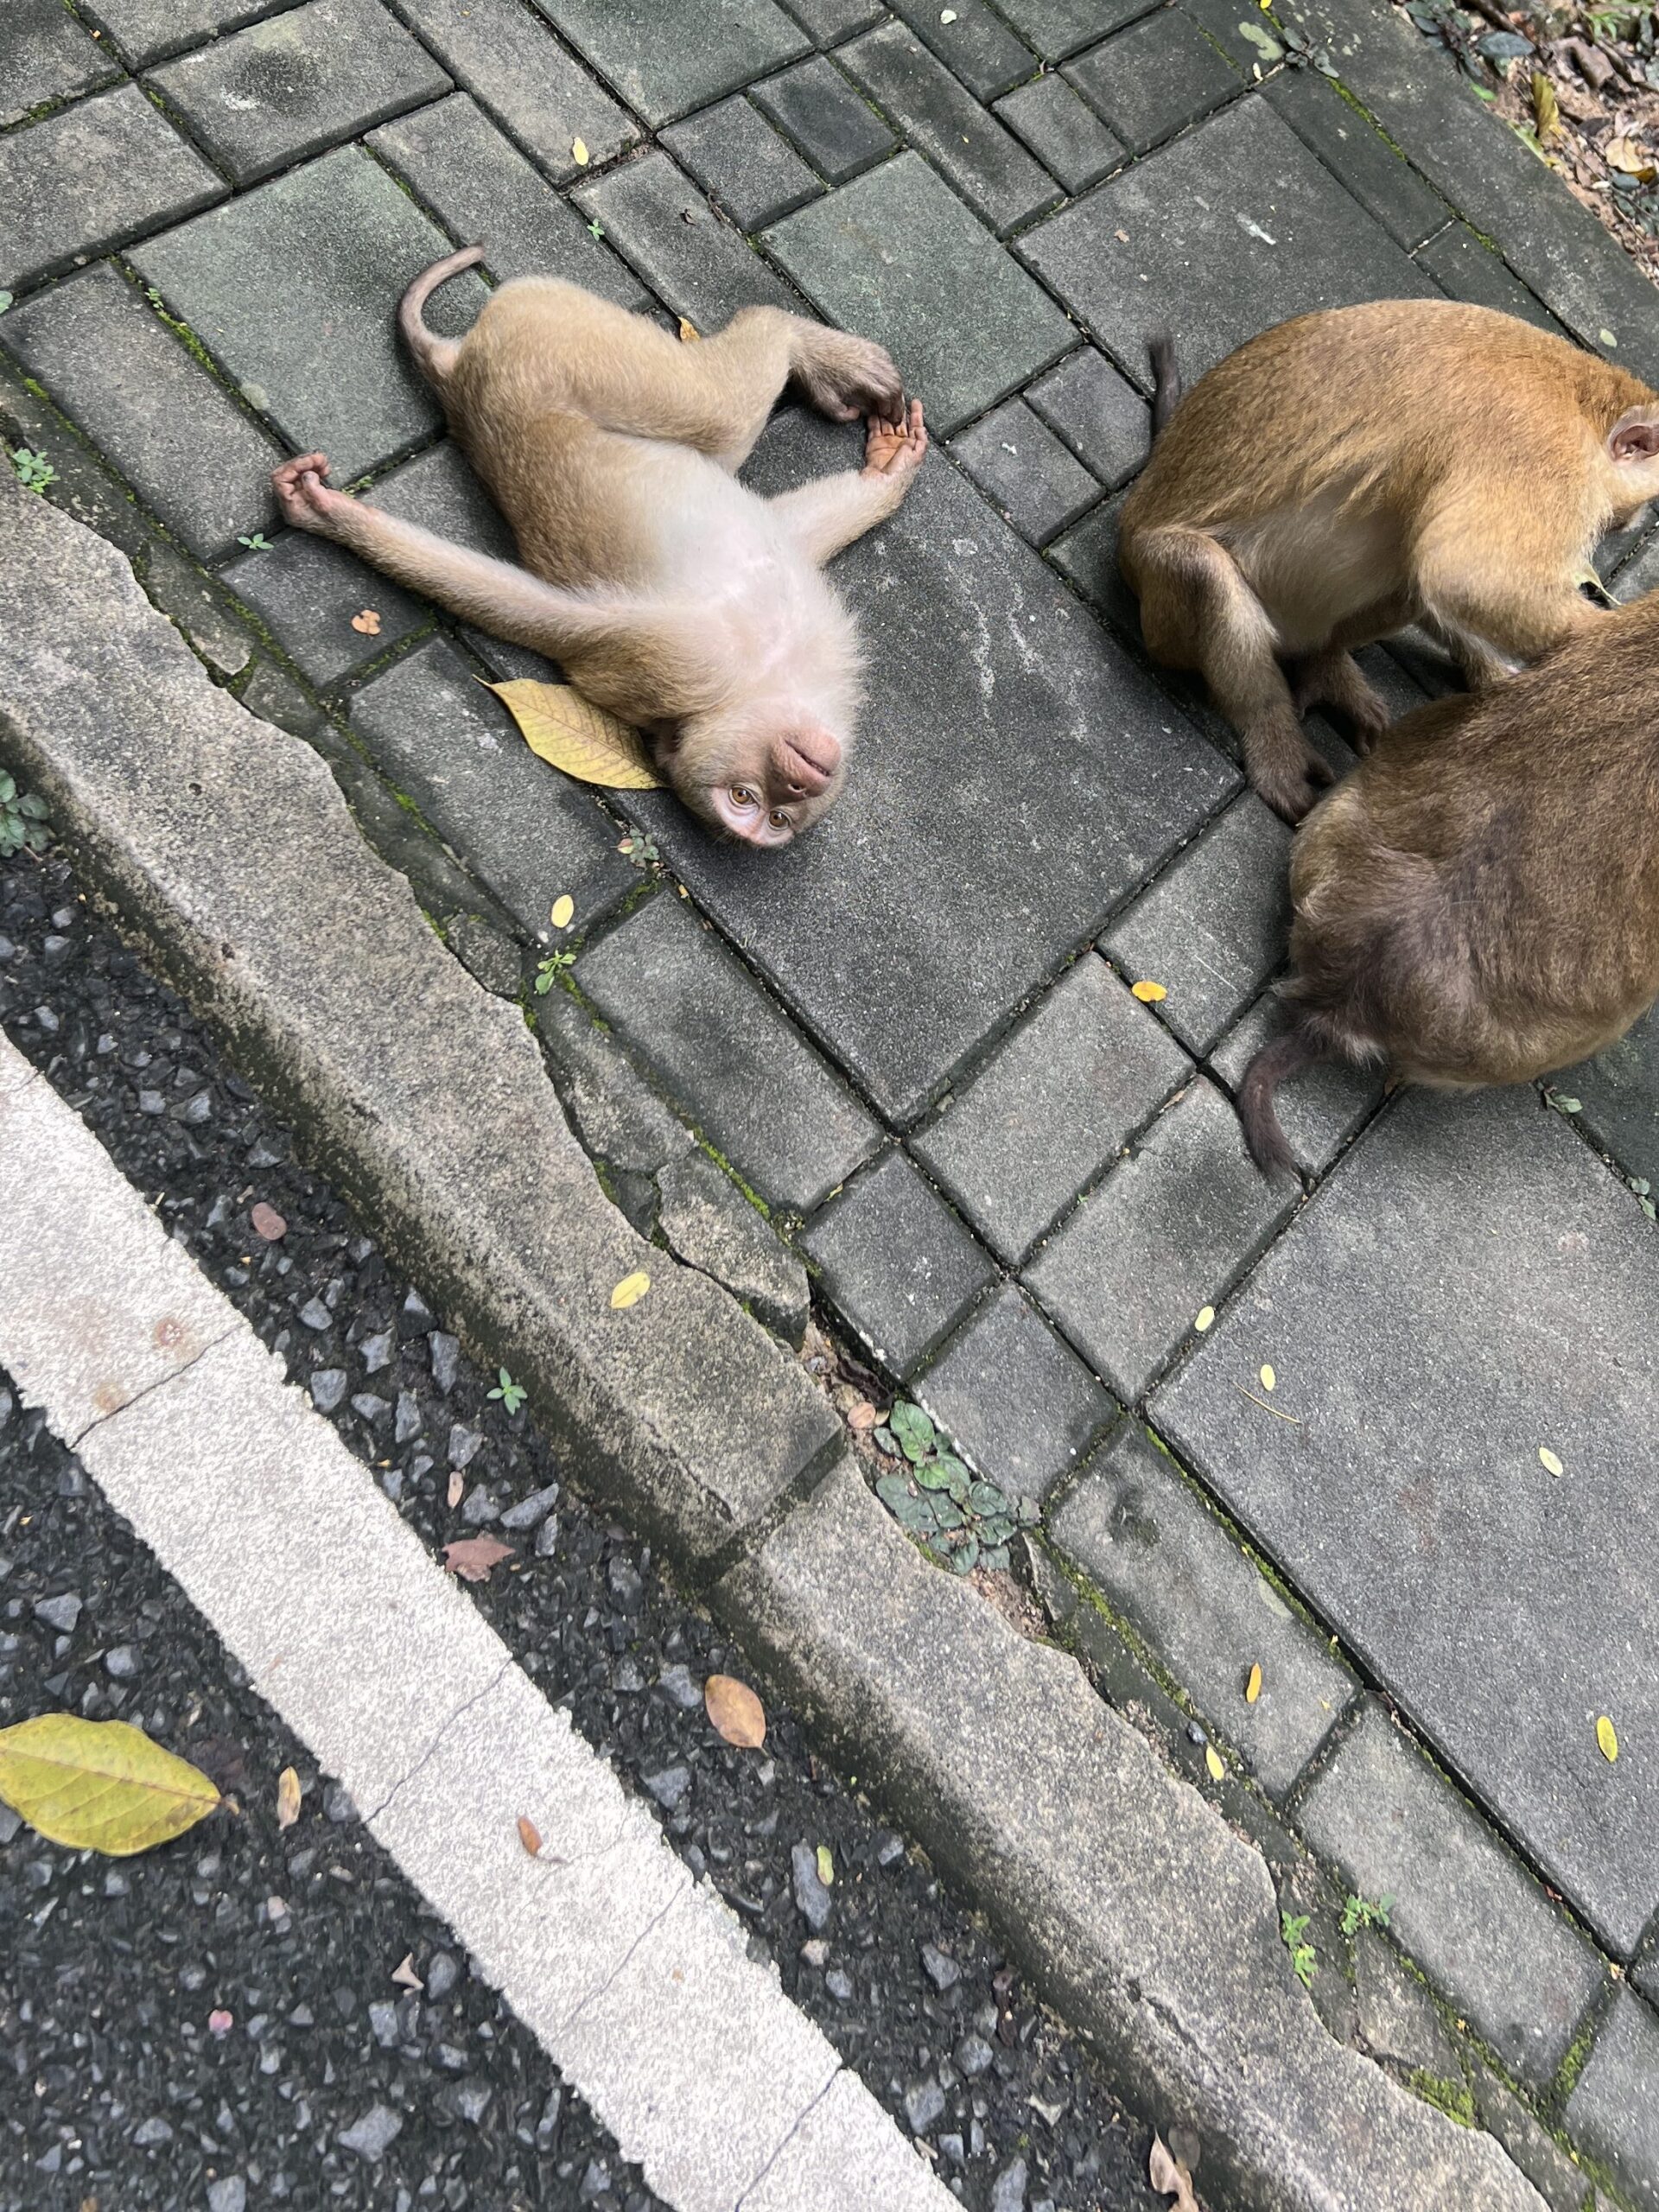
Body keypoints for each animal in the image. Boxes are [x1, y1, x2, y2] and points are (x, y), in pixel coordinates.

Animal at [270, 247, 928, 846]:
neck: (760, 680)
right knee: (720, 414)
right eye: (745, 800)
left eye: (780, 818)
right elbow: (547, 616)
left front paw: (887, 473)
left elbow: (795, 528)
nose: (797, 782)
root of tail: (454, 377)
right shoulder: (679, 662)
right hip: (555, 351)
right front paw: (336, 520)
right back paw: (793, 335)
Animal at [1118, 300, 1659, 822]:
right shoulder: (1542, 452)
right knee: (1202, 569)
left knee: (1405, 573)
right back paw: (1272, 733)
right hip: (1160, 608)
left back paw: (1325, 663)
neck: (1580, 402)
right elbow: (1469, 575)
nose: (1622, 528)